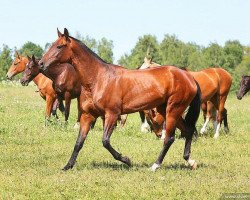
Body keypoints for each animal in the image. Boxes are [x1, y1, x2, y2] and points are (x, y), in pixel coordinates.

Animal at [39, 28, 202, 172]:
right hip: (168, 110)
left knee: (169, 138)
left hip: (173, 110)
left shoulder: (112, 114)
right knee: (188, 131)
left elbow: (105, 141)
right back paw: (190, 162)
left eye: (59, 46)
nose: (41, 63)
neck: (98, 78)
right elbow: (79, 143)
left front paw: (127, 160)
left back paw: (155, 166)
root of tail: (188, 77)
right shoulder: (87, 116)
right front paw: (68, 166)